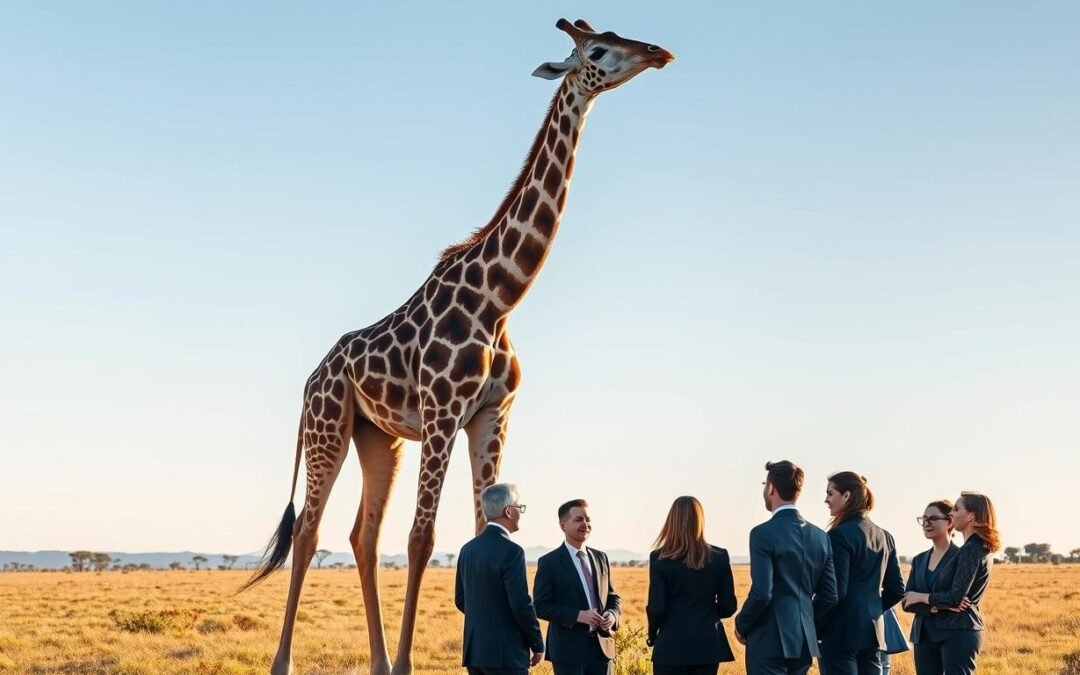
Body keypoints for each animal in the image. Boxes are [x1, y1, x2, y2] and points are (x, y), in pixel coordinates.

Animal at [241, 18, 674, 675]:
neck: (499, 299)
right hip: (328, 428)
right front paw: (408, 664)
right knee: (310, 533)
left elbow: (481, 527)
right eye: (598, 49)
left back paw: (373, 661)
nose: (658, 53)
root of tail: (311, 378)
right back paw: (285, 662)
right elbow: (423, 539)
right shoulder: (444, 414)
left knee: (361, 536)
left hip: (380, 438)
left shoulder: (492, 415)